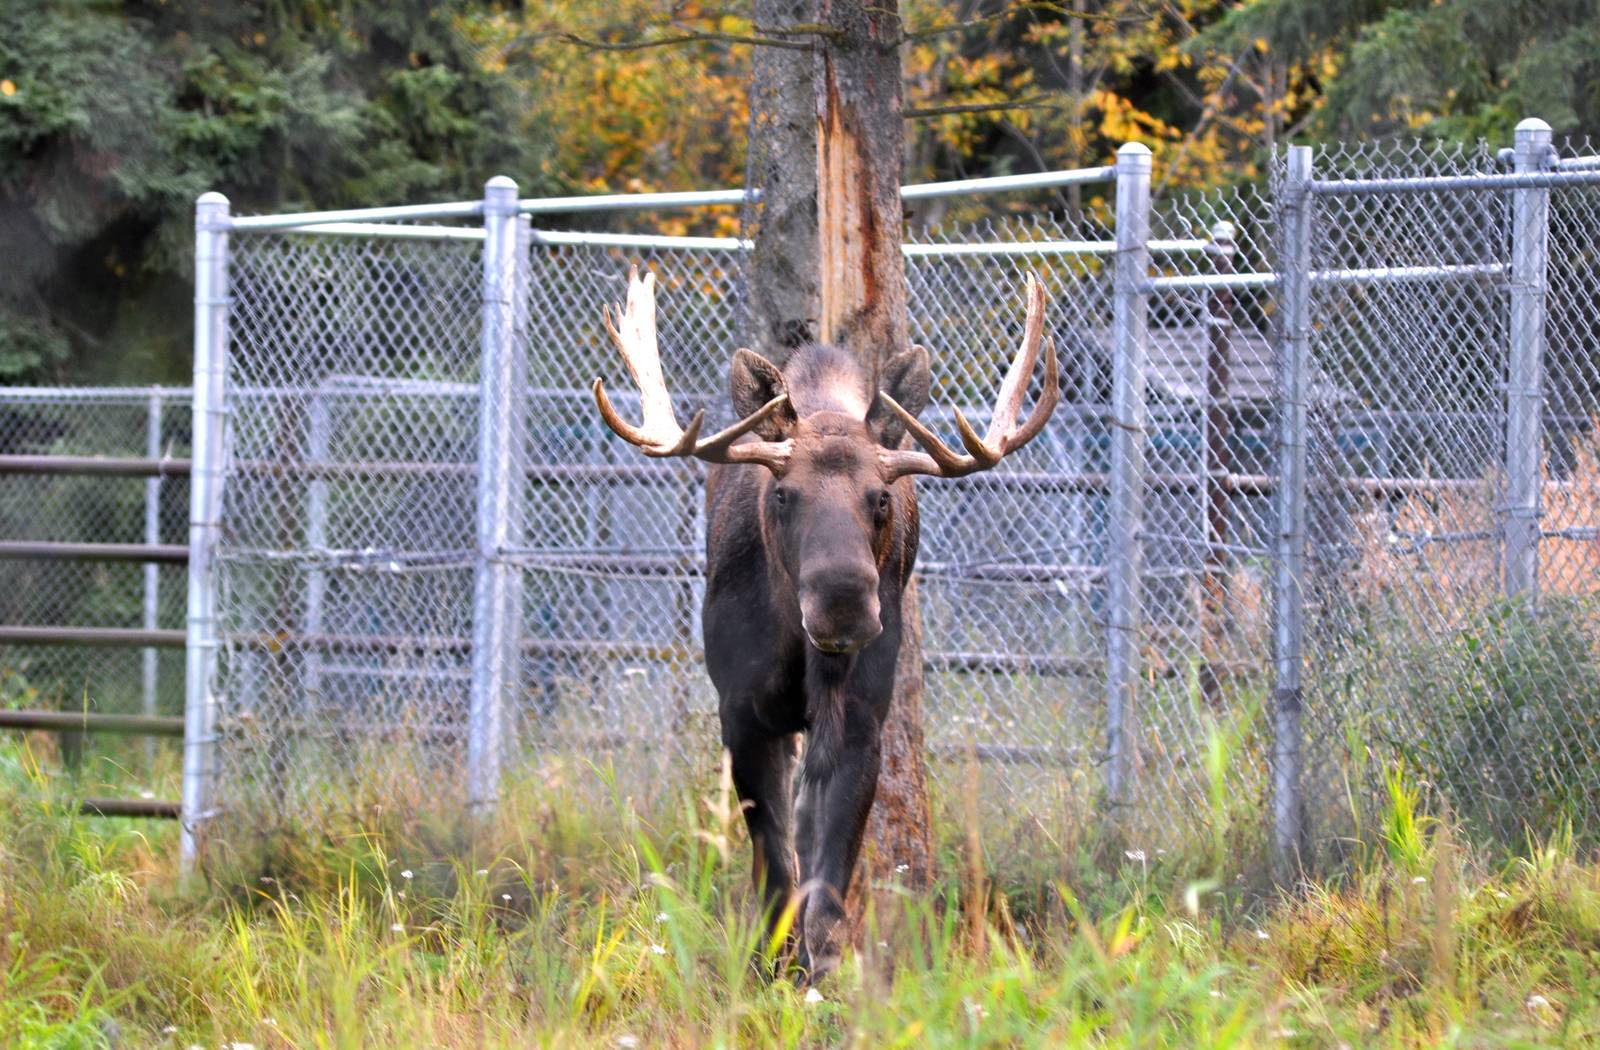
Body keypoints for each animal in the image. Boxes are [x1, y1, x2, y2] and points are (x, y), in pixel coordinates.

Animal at [591, 266, 1057, 983]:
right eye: (783, 494)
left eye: (882, 498)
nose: (844, 605)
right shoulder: (741, 709)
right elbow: (774, 865)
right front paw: (770, 965)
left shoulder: (862, 713)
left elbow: (829, 873)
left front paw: (825, 973)